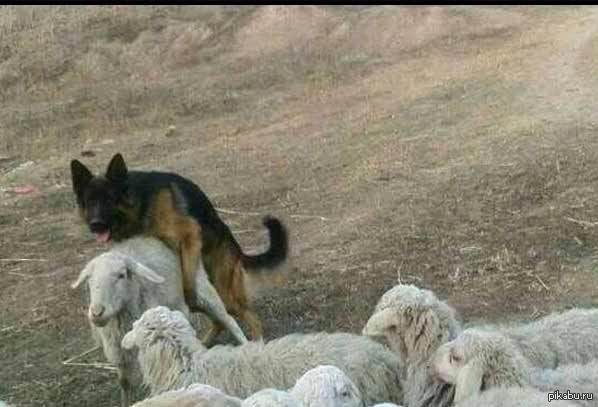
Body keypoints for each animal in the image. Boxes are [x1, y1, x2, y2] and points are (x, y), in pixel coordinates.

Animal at [70, 153, 289, 341]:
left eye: (109, 199)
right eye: (89, 202)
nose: (96, 224)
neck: (141, 203)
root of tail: (237, 249)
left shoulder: (189, 234)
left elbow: (188, 283)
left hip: (224, 290)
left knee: (247, 317)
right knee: (219, 321)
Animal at [71, 236, 247, 406]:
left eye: (122, 275)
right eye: (89, 279)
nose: (97, 312)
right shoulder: (118, 352)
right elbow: (124, 382)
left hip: (202, 289)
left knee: (228, 319)